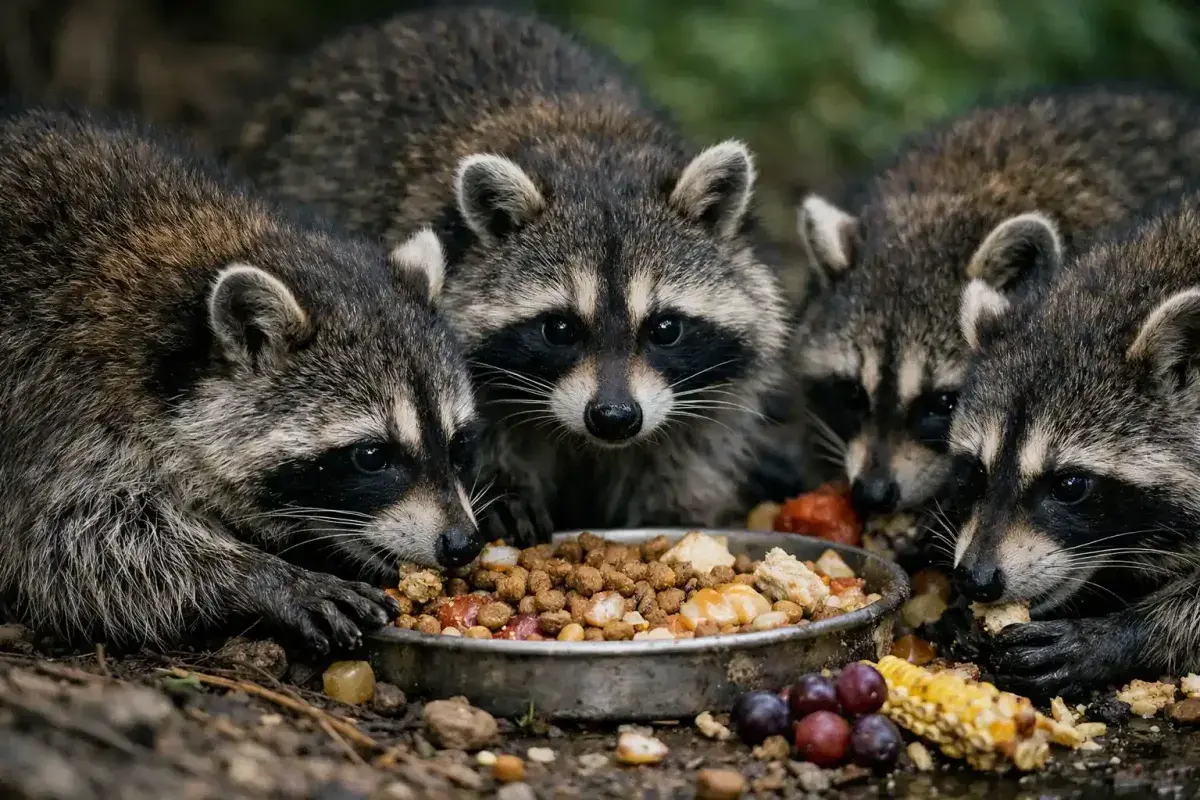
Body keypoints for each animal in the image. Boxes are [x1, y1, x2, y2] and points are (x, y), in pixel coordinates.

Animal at [0, 107, 483, 651]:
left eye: (459, 443)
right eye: (371, 455)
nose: (462, 543)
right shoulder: (63, 400)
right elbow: (69, 547)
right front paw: (259, 576)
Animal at [227, 6, 789, 543]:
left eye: (665, 328)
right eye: (559, 329)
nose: (613, 418)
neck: (593, 150)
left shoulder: (715, 383)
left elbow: (691, 447)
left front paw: (677, 513)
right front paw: (502, 490)